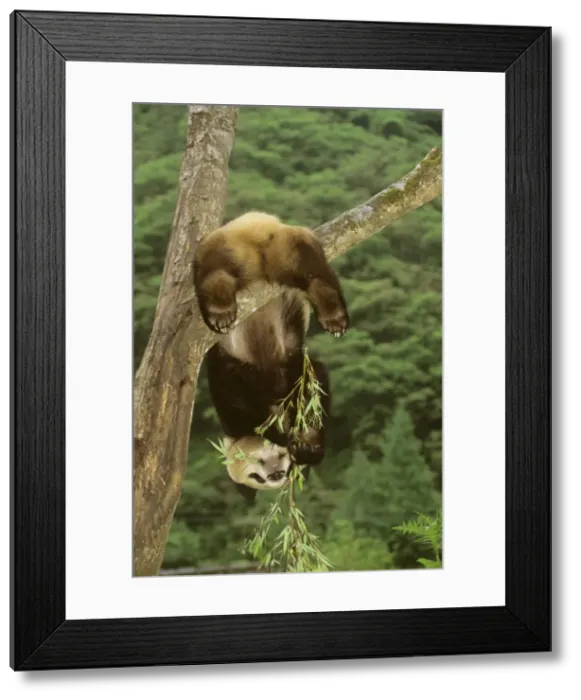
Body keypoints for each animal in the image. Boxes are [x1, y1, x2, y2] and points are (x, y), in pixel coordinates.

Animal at [193, 211, 349, 503]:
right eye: (257, 478)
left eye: (277, 472)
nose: (276, 474)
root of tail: (259, 226)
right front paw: (296, 444)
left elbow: (310, 387)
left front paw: (307, 441)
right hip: (282, 248)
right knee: (310, 270)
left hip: (229, 243)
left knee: (212, 267)